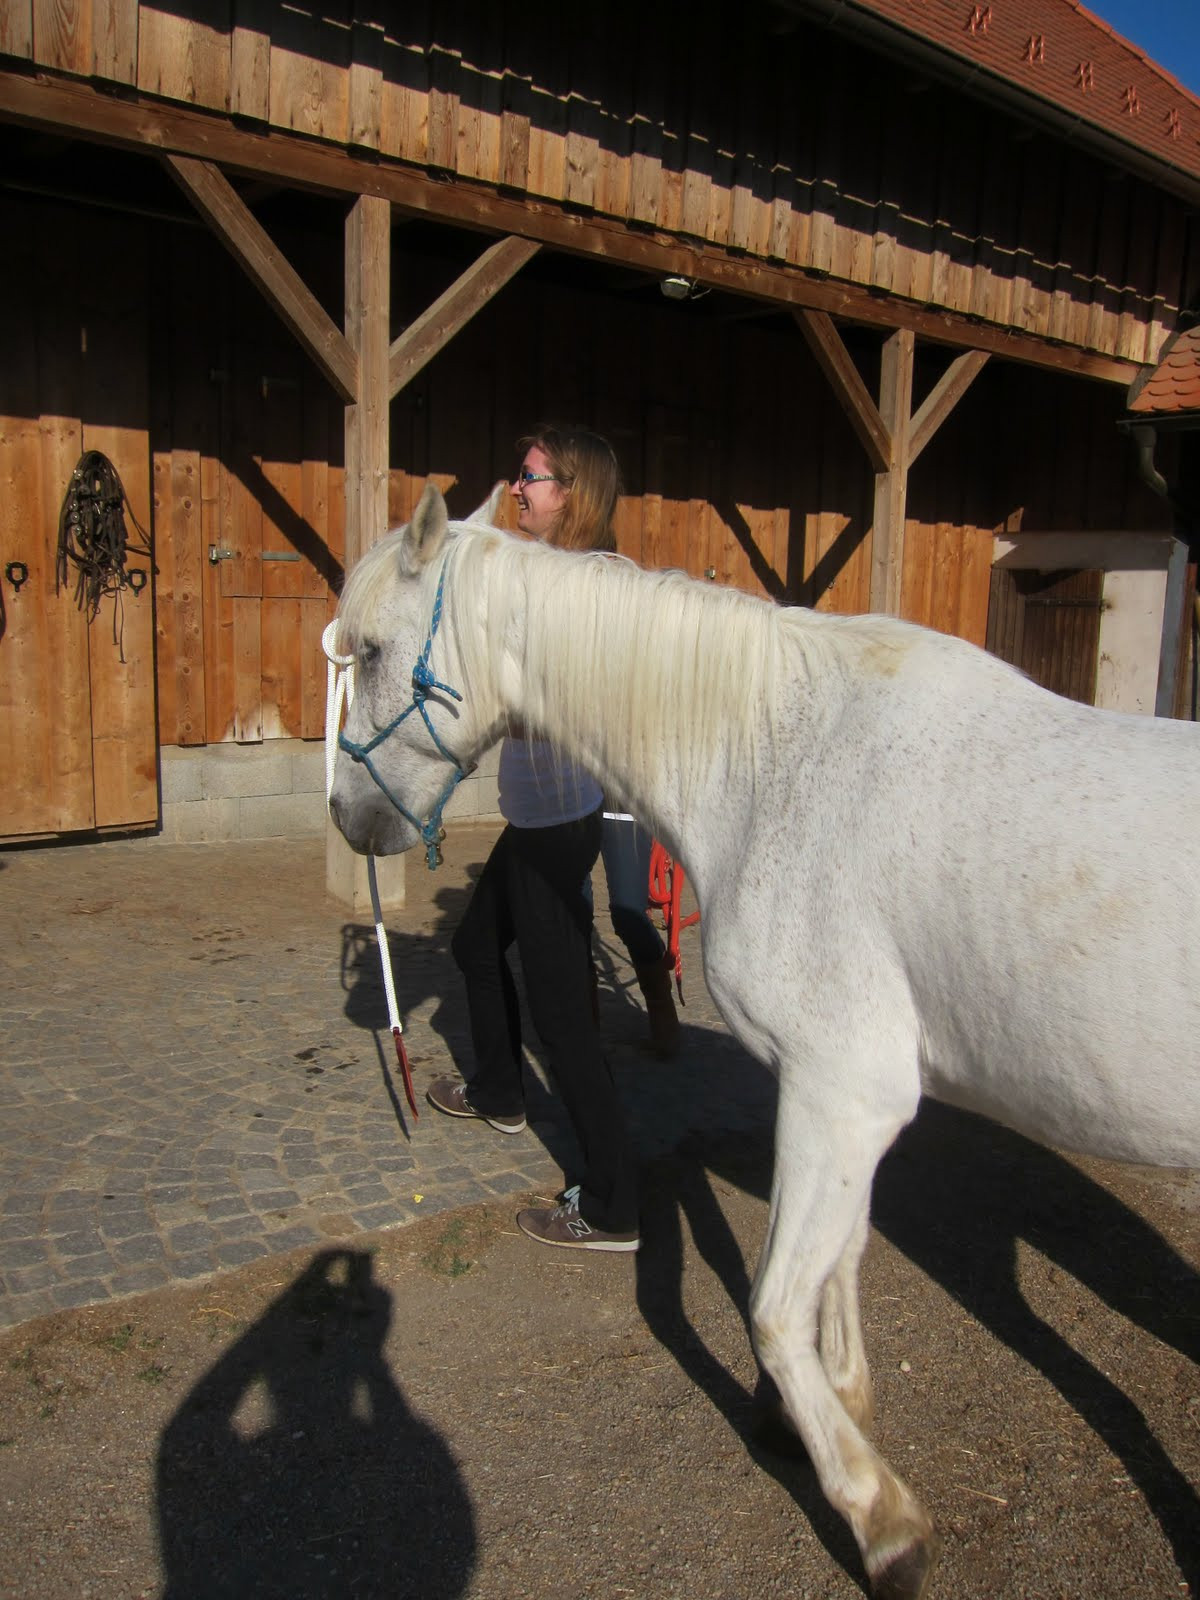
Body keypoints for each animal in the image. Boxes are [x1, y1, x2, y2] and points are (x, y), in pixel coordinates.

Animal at [329, 483, 1200, 1600]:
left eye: (373, 651)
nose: (348, 817)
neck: (778, 760)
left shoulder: (845, 1095)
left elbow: (778, 1308)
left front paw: (882, 1520)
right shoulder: (833, 1103)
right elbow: (841, 1260)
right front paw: (829, 1415)